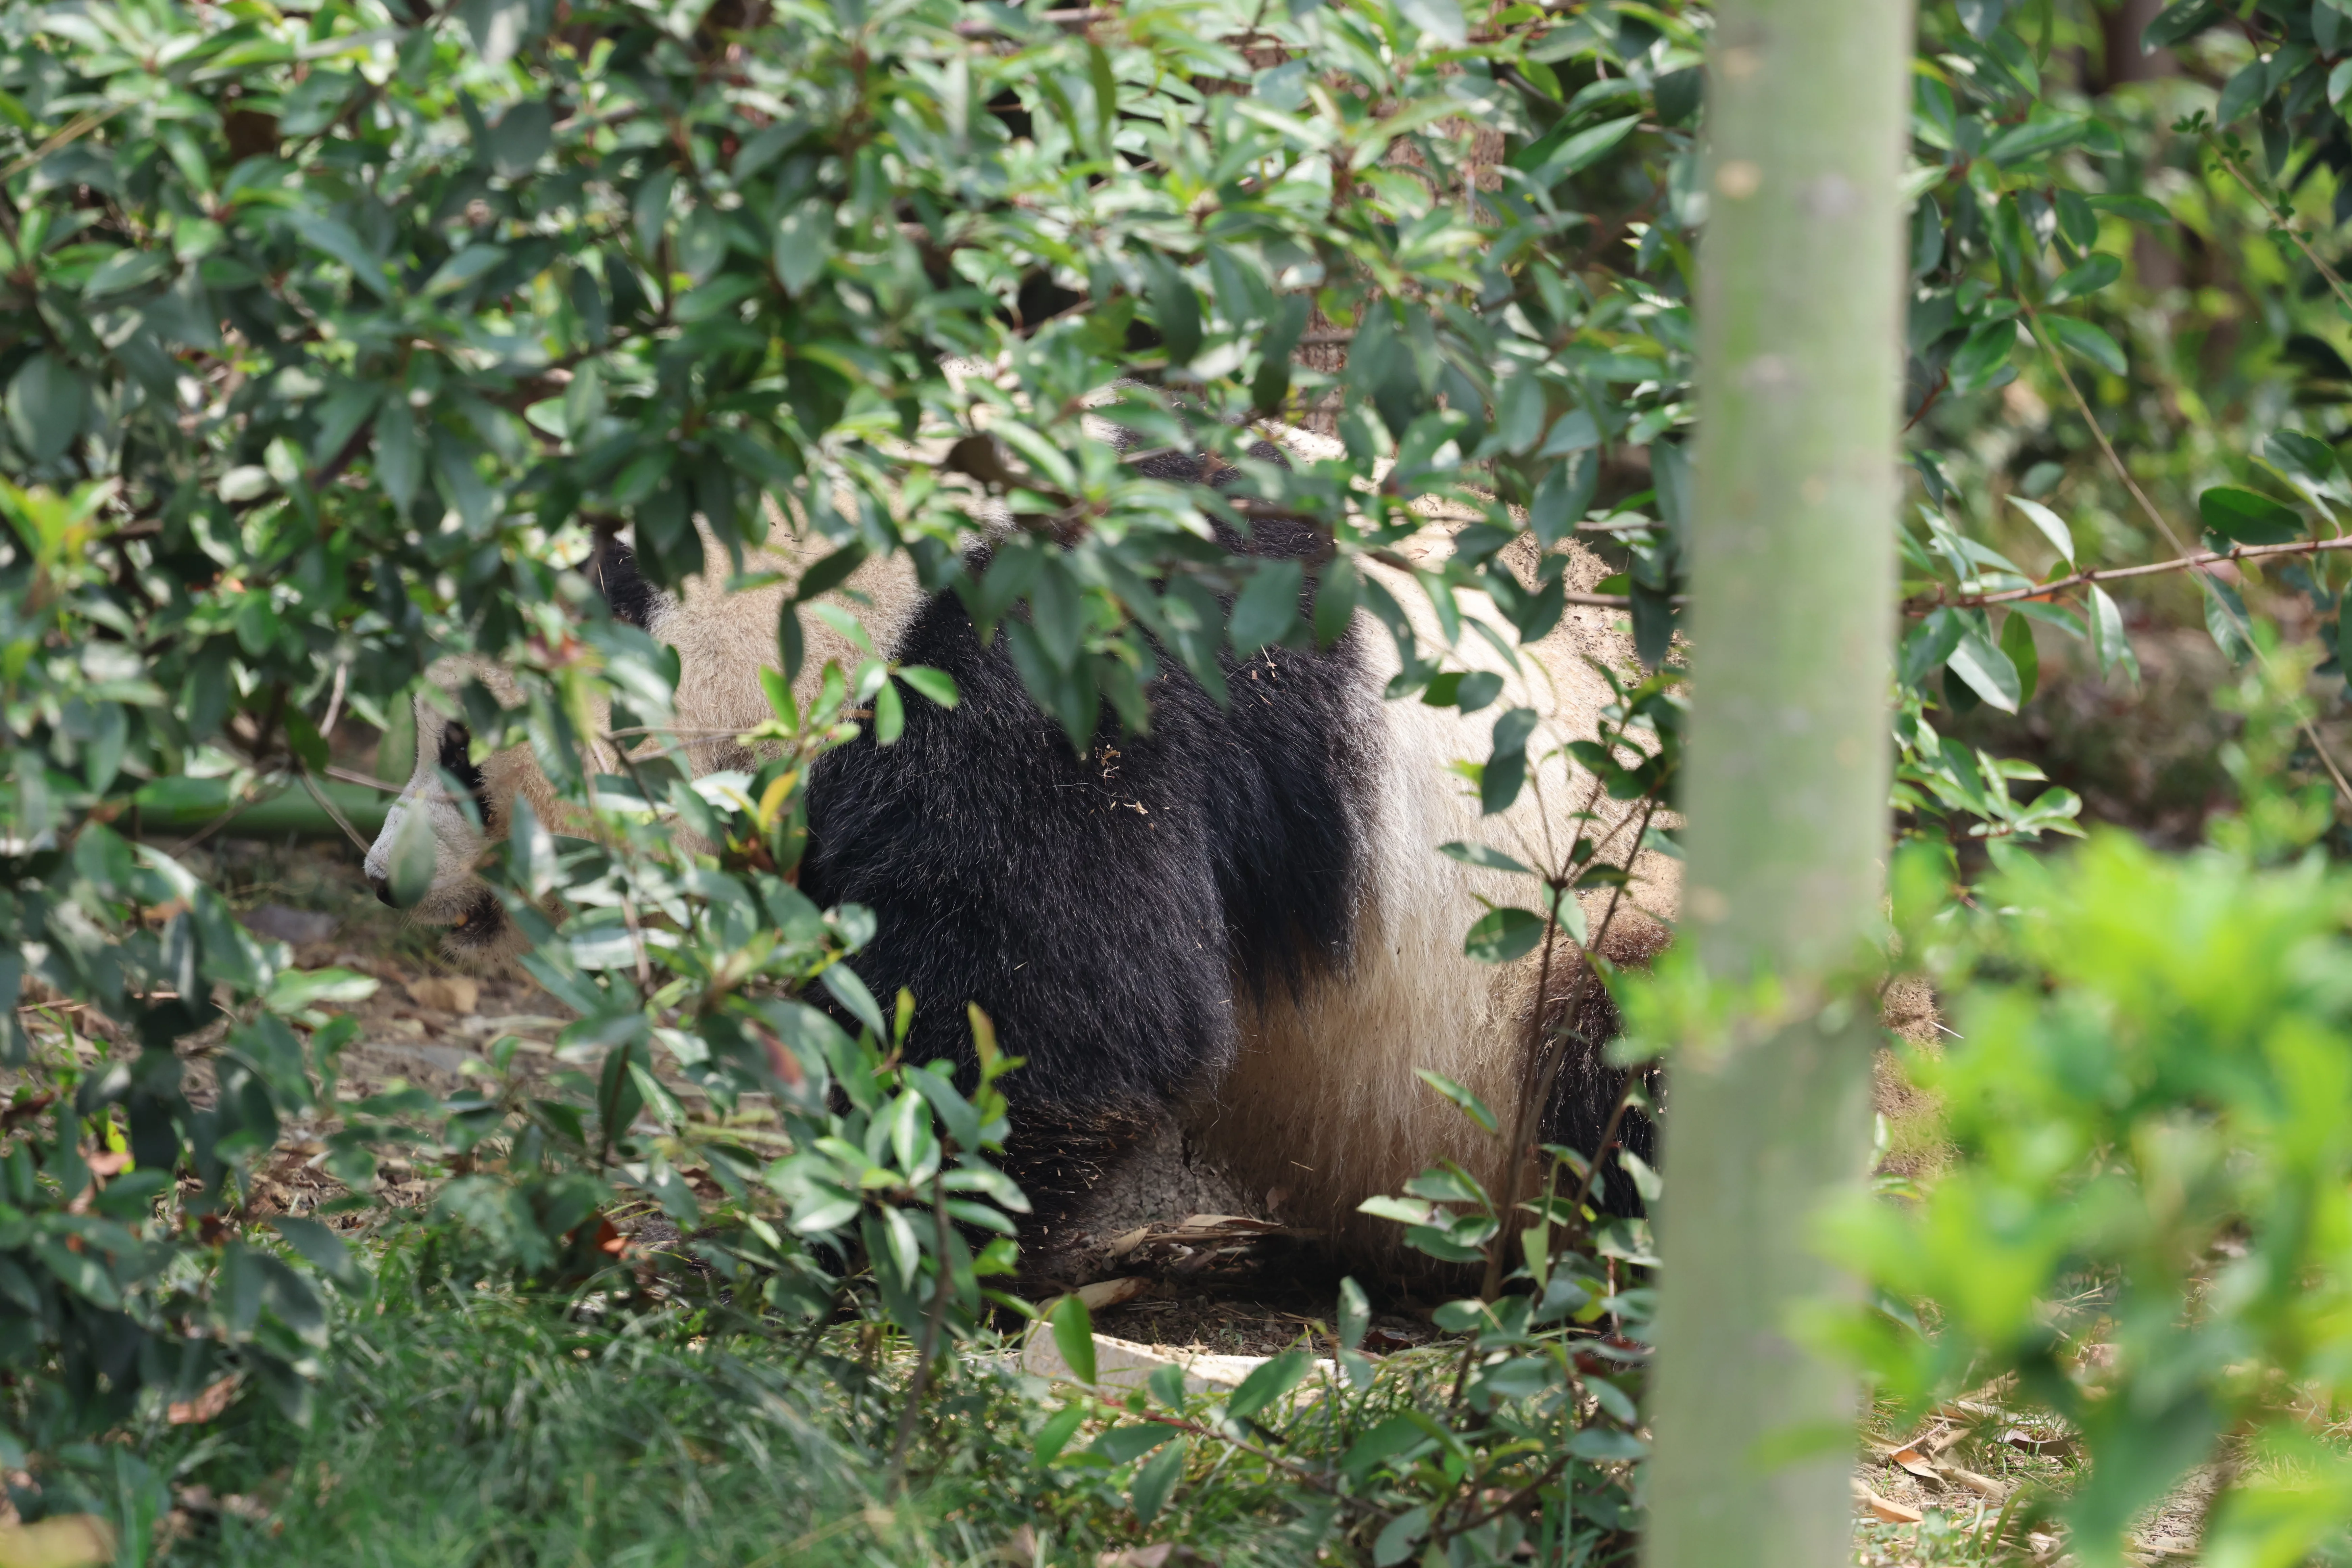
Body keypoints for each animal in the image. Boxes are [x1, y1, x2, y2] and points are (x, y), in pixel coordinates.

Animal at [362, 420, 1680, 1274]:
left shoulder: (1054, 675)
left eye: (460, 750)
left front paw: (885, 1236)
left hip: (1570, 934)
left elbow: (1054, 1003)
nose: (381, 876)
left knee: (1624, 1058)